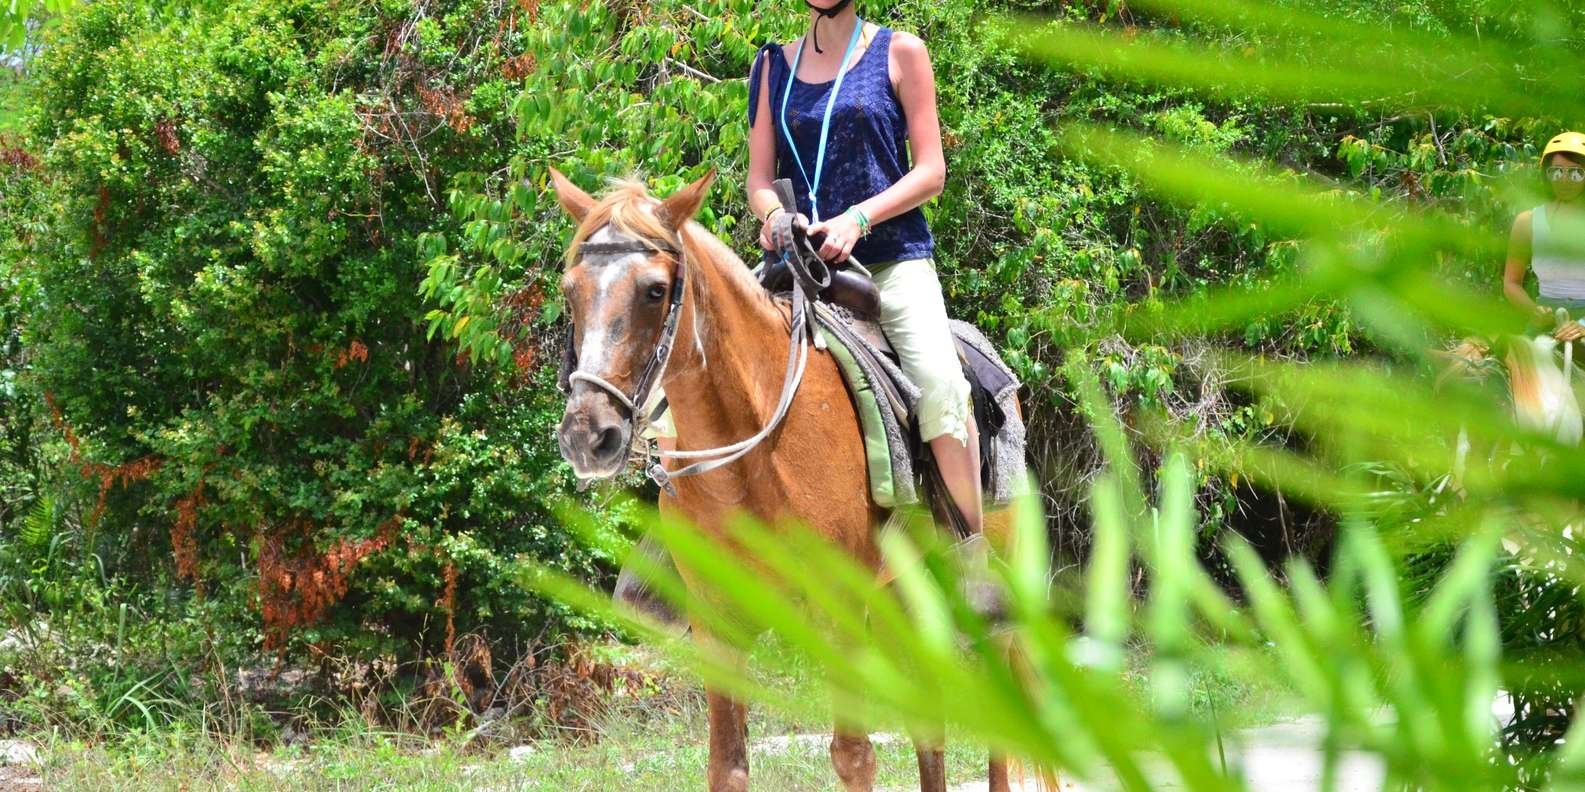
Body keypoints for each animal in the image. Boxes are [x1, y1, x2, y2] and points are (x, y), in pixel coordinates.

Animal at [550, 167, 1029, 792]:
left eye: (655, 290)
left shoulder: (840, 610)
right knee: (929, 728)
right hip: (901, 602)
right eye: (570, 290)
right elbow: (727, 766)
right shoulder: (719, 626)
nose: (588, 434)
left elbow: (854, 756)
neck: (753, 457)